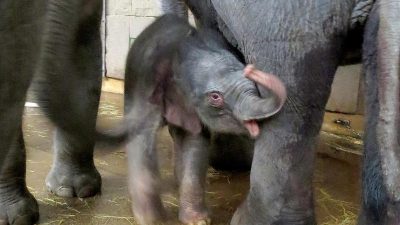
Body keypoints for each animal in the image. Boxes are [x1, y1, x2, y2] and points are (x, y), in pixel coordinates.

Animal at [112, 14, 286, 224]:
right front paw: (151, 219)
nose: (252, 69)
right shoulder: (146, 86)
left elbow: (194, 143)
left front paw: (198, 221)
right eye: (215, 97)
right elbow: (141, 138)